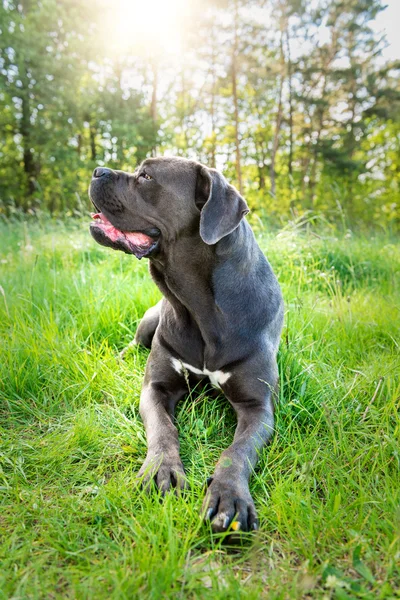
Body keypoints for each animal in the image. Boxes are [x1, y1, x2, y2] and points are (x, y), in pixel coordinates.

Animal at [90, 157, 284, 532]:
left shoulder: (258, 406)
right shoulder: (156, 387)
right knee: (134, 343)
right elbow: (163, 429)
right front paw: (160, 469)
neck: (199, 306)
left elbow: (236, 451)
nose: (96, 170)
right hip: (149, 320)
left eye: (146, 176)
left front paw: (229, 497)